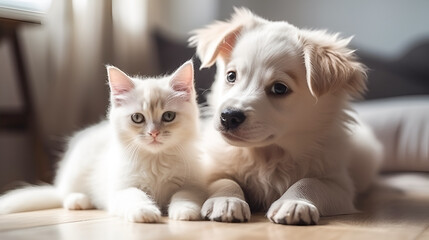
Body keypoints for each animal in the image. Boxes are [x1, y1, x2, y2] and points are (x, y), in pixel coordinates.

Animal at [0, 60, 206, 223]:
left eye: (168, 116)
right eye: (137, 118)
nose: (153, 133)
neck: (155, 160)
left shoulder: (192, 183)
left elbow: (184, 195)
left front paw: (185, 211)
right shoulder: (120, 189)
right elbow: (134, 195)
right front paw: (144, 212)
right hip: (75, 169)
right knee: (63, 194)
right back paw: (79, 200)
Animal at [189, 7, 382, 225]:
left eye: (279, 88)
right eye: (231, 76)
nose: (228, 116)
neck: (268, 154)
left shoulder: (339, 185)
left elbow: (310, 182)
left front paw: (294, 203)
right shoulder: (212, 167)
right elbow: (223, 180)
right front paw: (227, 200)